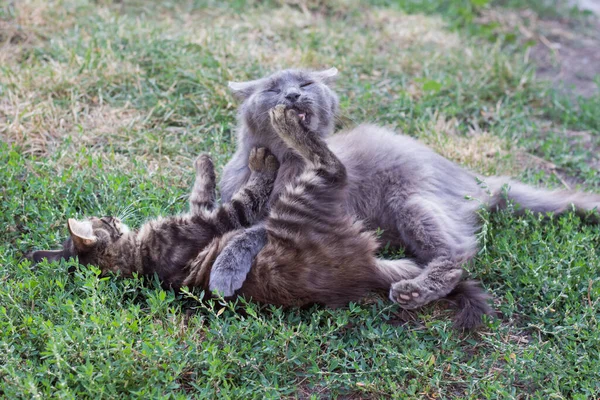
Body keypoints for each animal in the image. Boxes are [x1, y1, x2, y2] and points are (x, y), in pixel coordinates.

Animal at [212, 67, 600, 326]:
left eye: (306, 83)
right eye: (273, 88)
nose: (292, 96)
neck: (283, 161)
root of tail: (472, 178)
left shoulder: (310, 216)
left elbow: (252, 232)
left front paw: (223, 270)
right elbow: (234, 221)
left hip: (414, 204)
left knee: (455, 258)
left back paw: (413, 290)